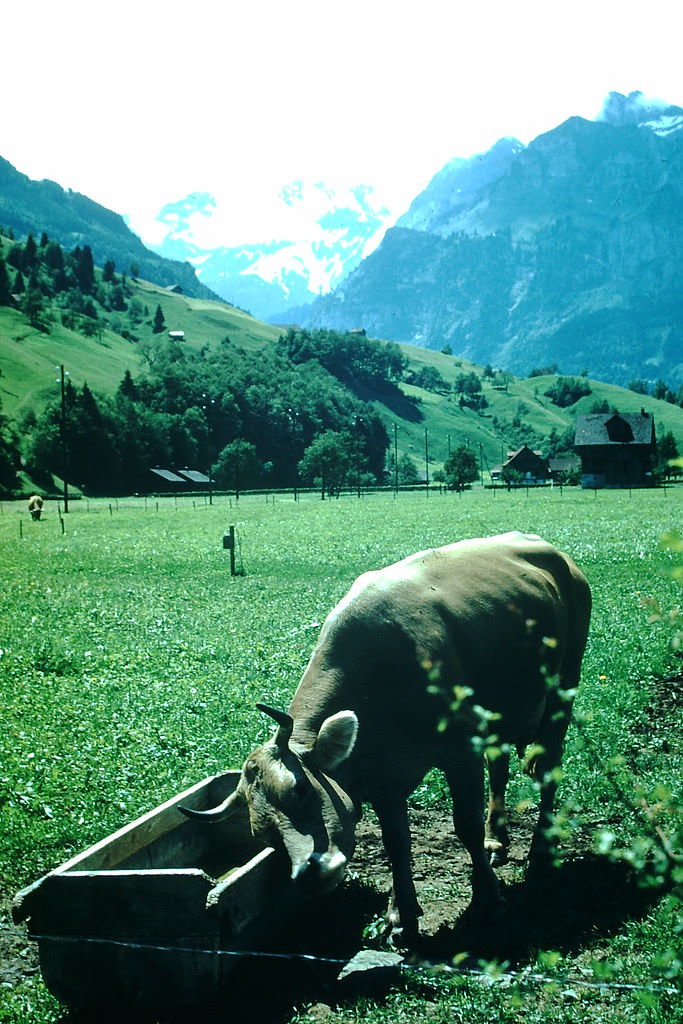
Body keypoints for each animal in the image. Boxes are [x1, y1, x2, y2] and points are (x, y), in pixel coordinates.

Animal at [183, 536, 593, 942]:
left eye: (301, 790)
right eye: (264, 835)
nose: (309, 873)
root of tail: (550, 550)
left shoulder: (461, 749)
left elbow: (466, 825)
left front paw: (488, 898)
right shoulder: (382, 777)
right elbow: (396, 842)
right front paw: (401, 913)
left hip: (564, 688)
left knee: (549, 769)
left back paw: (541, 847)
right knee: (500, 769)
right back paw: (498, 838)